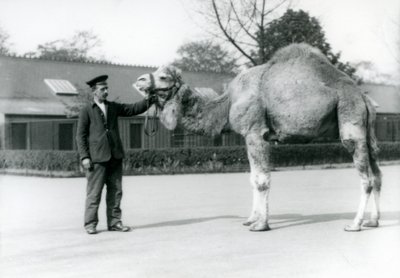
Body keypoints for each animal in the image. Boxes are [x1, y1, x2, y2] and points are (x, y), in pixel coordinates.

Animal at [136, 42, 382, 231]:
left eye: (163, 76)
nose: (139, 81)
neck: (227, 102)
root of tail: (363, 96)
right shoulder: (248, 137)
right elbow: (253, 178)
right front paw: (250, 219)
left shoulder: (255, 132)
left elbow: (262, 180)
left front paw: (261, 224)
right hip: (365, 130)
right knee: (377, 174)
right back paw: (373, 221)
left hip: (350, 115)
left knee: (366, 178)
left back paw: (355, 224)